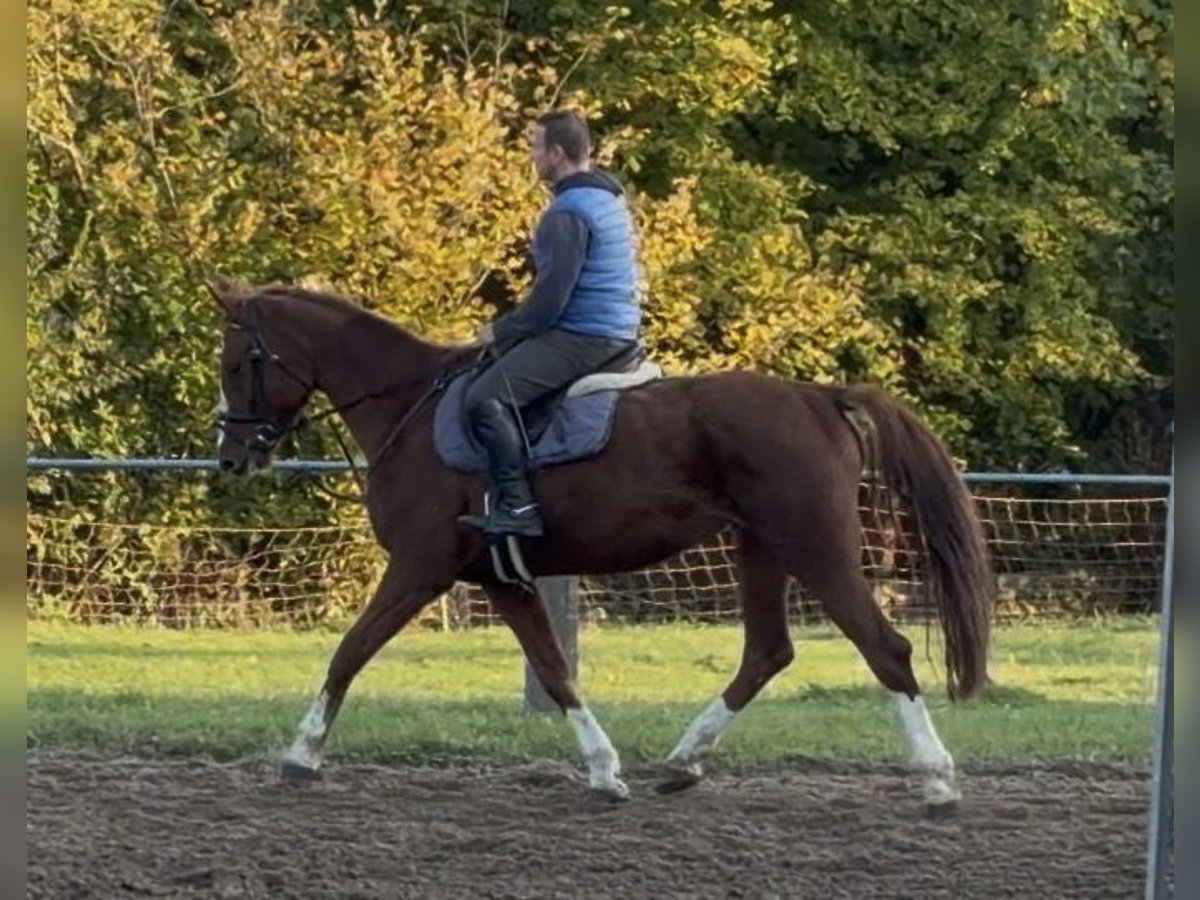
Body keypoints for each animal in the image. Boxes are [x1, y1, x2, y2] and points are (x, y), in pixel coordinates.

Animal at [209, 279, 994, 810]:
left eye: (236, 363)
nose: (232, 455)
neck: (409, 407)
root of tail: (817, 396)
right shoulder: (501, 580)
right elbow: (556, 672)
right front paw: (604, 770)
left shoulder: (419, 567)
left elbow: (349, 651)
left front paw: (301, 754)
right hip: (761, 550)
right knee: (767, 652)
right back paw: (683, 760)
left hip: (816, 549)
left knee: (884, 648)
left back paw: (936, 778)